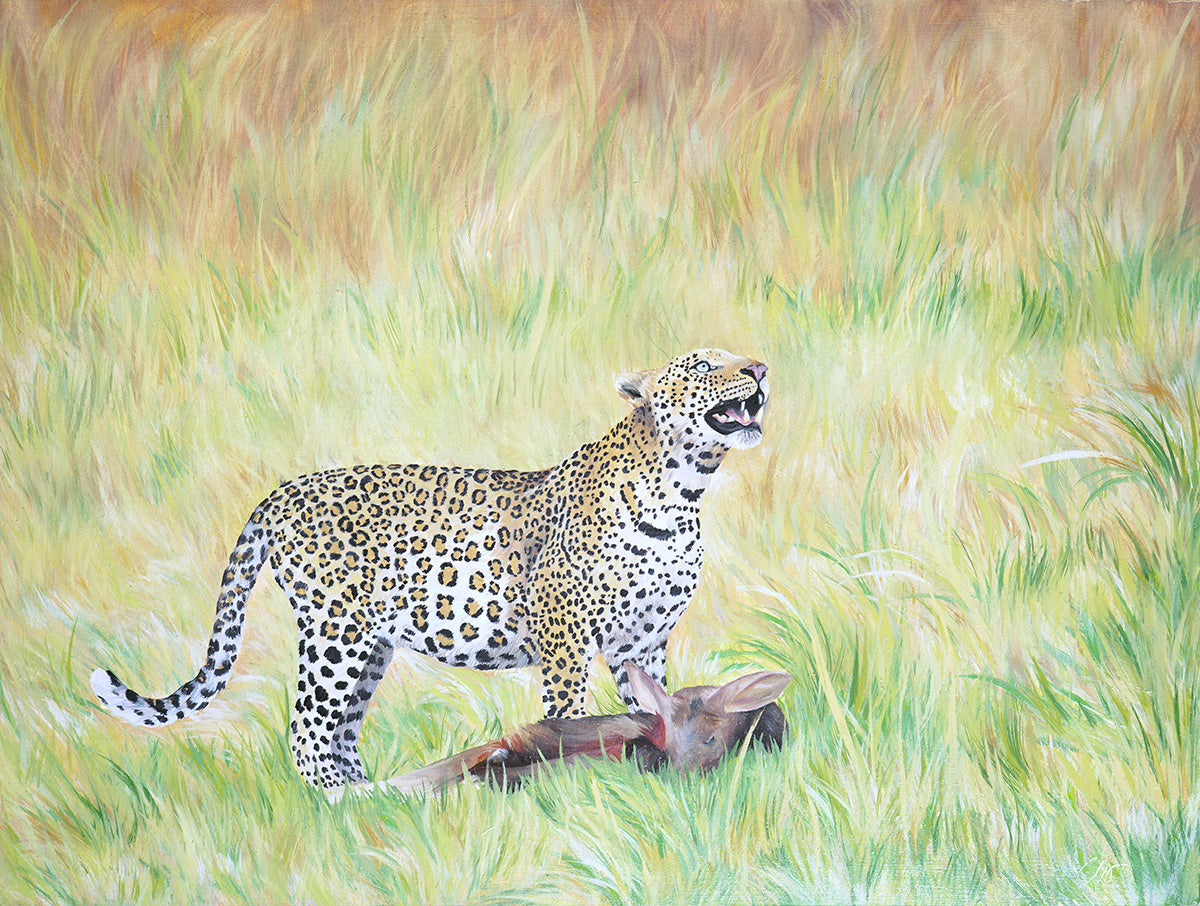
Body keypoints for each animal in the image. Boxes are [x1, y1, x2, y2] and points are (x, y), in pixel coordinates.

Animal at [91, 348, 769, 789]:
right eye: (704, 365)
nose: (761, 369)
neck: (682, 495)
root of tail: (282, 491)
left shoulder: (644, 642)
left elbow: (650, 709)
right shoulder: (566, 640)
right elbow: (569, 718)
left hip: (370, 647)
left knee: (341, 732)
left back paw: (379, 799)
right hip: (335, 633)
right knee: (308, 729)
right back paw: (340, 806)